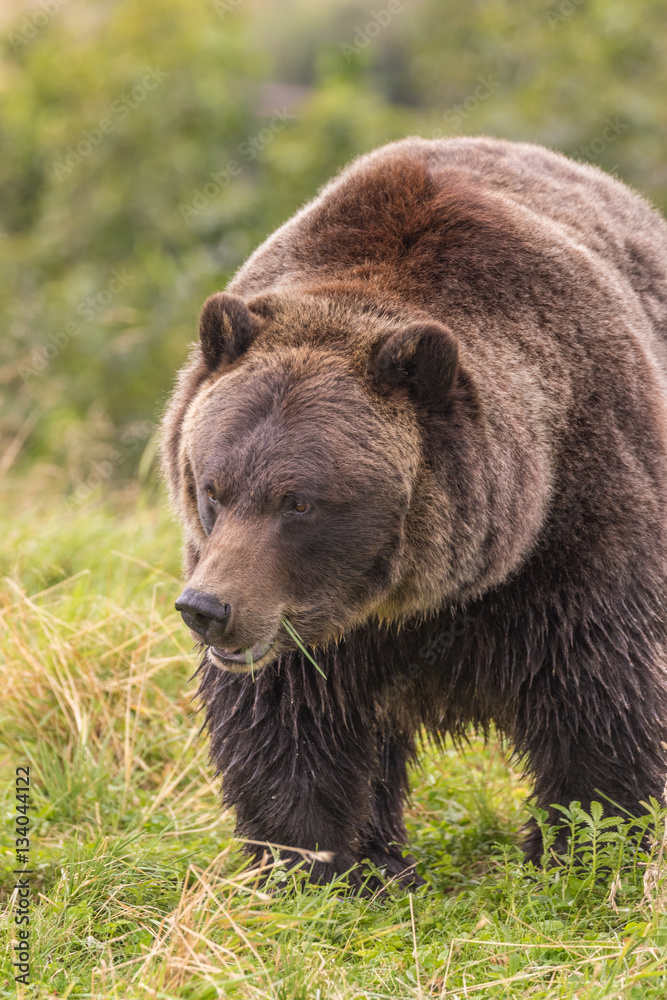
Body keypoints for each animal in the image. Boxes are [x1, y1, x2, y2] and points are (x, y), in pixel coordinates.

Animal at [160, 135, 667, 892]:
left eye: (299, 501)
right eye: (212, 488)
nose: (207, 608)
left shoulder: (580, 521)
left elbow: (600, 694)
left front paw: (577, 854)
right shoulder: (309, 627)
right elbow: (286, 721)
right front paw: (315, 863)